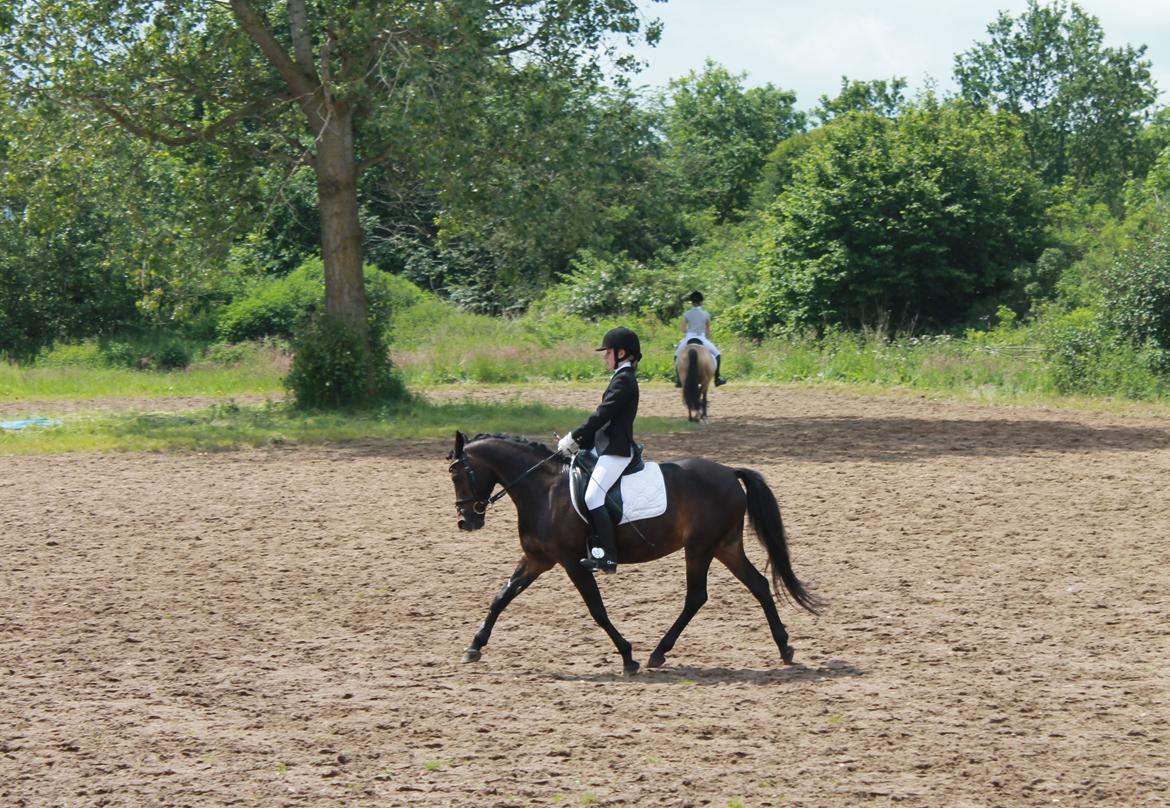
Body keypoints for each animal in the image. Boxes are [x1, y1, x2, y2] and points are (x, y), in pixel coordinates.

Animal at [446, 430, 823, 678]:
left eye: (458, 474)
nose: (466, 521)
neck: (545, 490)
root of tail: (730, 472)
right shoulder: (538, 559)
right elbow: (501, 597)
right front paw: (474, 646)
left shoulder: (571, 562)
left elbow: (597, 610)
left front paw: (628, 657)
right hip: (724, 546)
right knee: (758, 585)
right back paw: (784, 647)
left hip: (700, 547)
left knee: (697, 596)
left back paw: (658, 652)